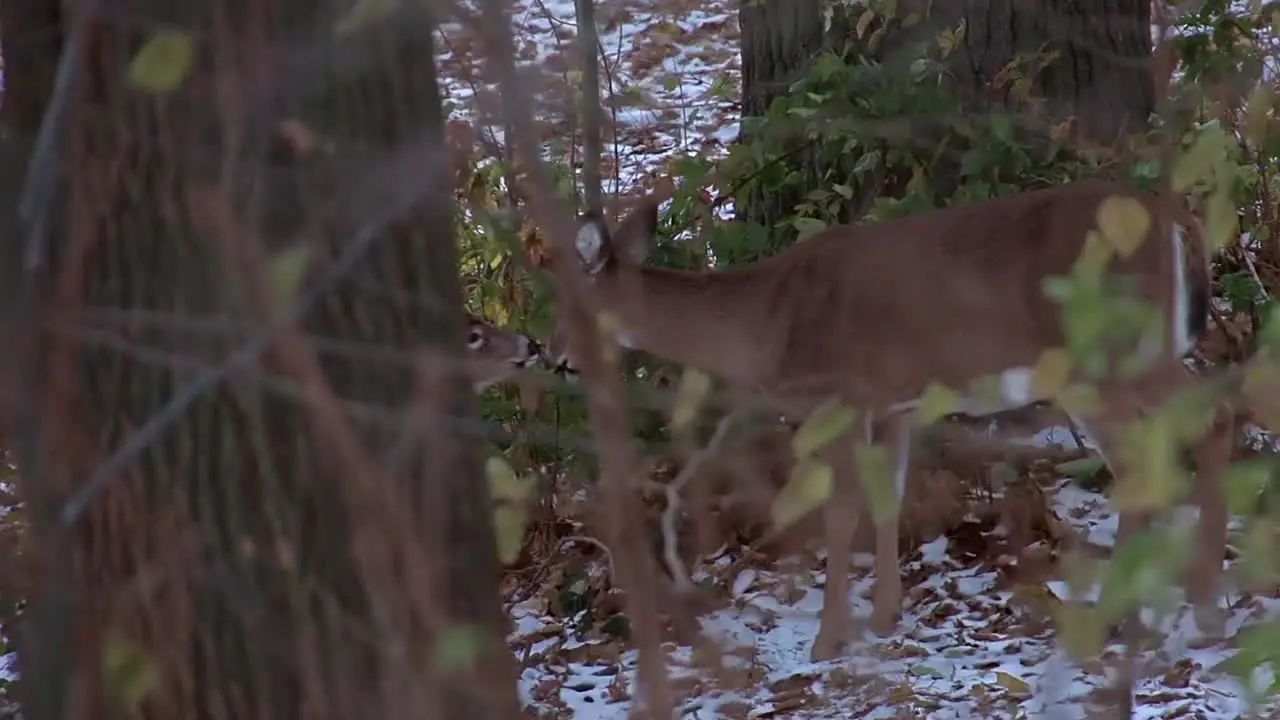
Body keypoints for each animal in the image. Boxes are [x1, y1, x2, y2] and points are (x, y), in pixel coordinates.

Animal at [545, 176, 1233, 661]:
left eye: (573, 304)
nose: (555, 357)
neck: (767, 326)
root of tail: (1177, 223)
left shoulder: (841, 398)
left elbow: (841, 511)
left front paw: (828, 642)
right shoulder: (894, 404)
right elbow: (887, 498)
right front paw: (884, 619)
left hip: (1107, 356)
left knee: (1196, 430)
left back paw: (1182, 611)